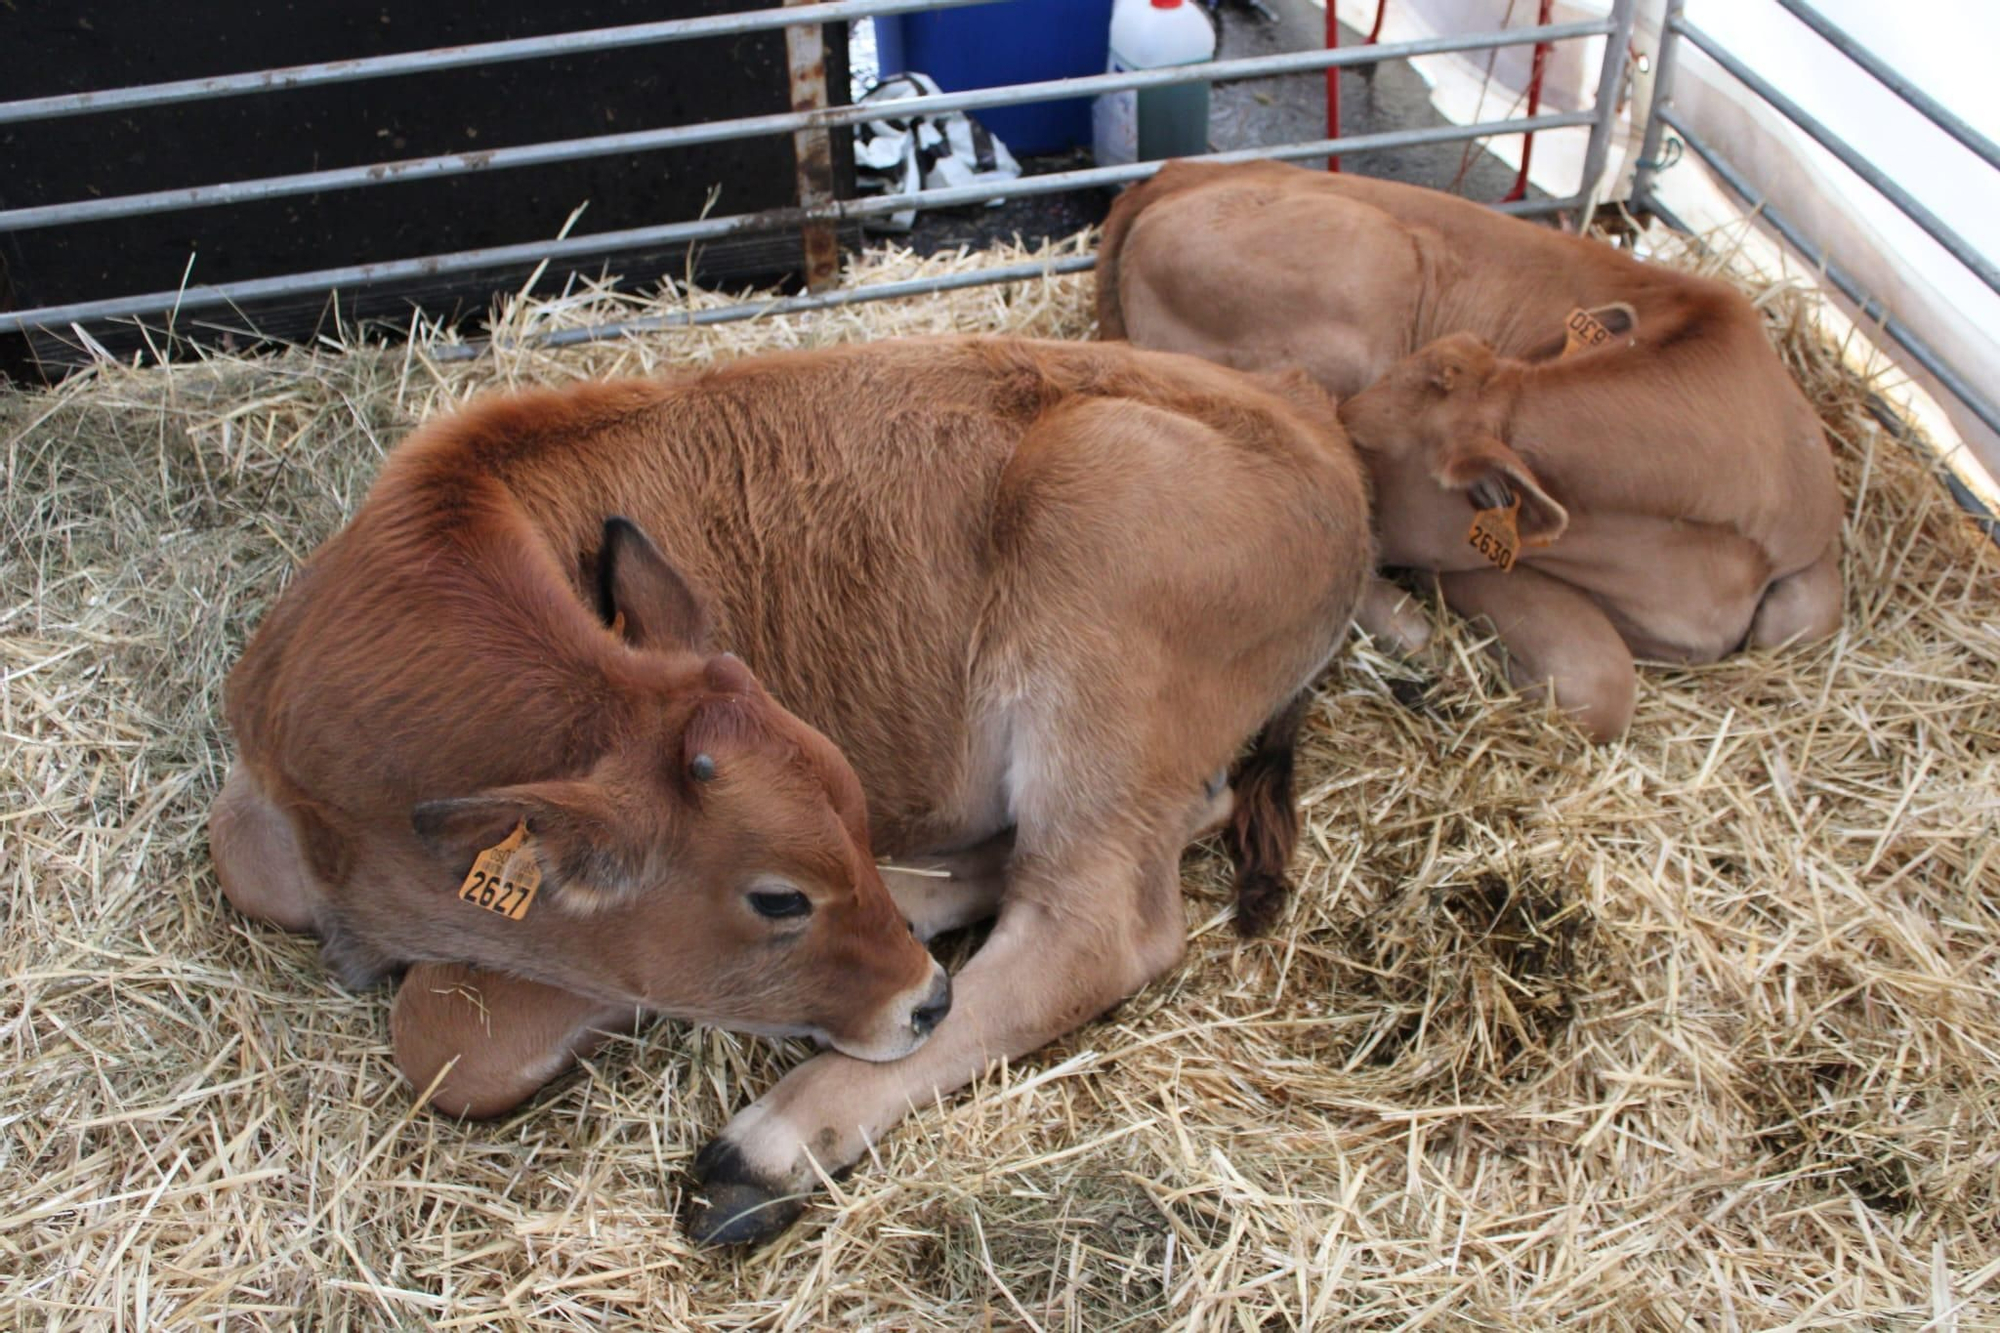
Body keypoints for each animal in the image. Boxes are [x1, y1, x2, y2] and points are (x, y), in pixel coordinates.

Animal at [215, 334, 1376, 1248]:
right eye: (777, 893)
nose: (914, 988)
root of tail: (1306, 415)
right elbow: (246, 865)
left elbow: (449, 1034)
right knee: (1174, 821)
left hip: (1097, 626)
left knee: (1091, 926)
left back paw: (763, 1150)